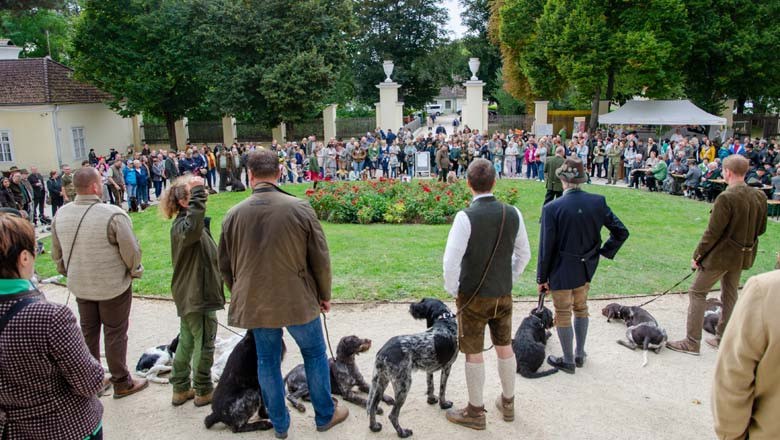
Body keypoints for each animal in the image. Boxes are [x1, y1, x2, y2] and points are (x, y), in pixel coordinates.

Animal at [368, 298, 460, 438]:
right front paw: (443, 404)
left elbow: (431, 386)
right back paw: (402, 433)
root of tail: (382, 353)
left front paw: (431, 400)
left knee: (373, 406)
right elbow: (442, 390)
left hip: (381, 382)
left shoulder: (430, 369)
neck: (445, 321)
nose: (410, 305)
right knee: (393, 415)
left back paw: (374, 427)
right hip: (404, 385)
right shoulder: (447, 367)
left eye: (422, 301)